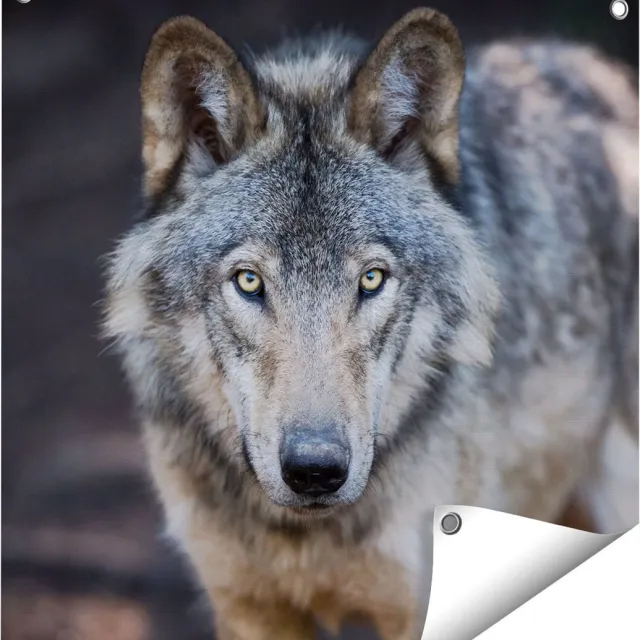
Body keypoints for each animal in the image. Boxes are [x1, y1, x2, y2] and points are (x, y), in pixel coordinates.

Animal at [103, 7, 639, 639]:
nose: (315, 471)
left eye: (372, 279)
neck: (303, 535)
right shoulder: (250, 608)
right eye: (249, 281)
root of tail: (600, 74)